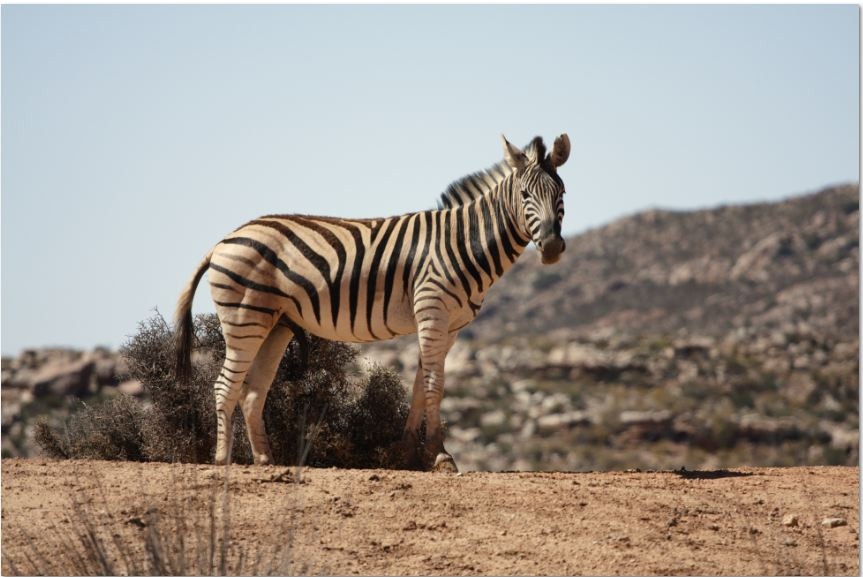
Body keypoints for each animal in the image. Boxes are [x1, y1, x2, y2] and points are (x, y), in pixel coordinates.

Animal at [174, 133, 570, 471]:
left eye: (561, 192)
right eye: (524, 194)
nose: (552, 247)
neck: (462, 240)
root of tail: (224, 239)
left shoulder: (452, 325)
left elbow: (420, 385)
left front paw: (409, 453)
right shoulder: (432, 311)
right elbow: (434, 384)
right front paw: (440, 455)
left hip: (275, 324)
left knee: (253, 392)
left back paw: (265, 460)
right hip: (245, 317)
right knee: (225, 385)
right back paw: (222, 459)